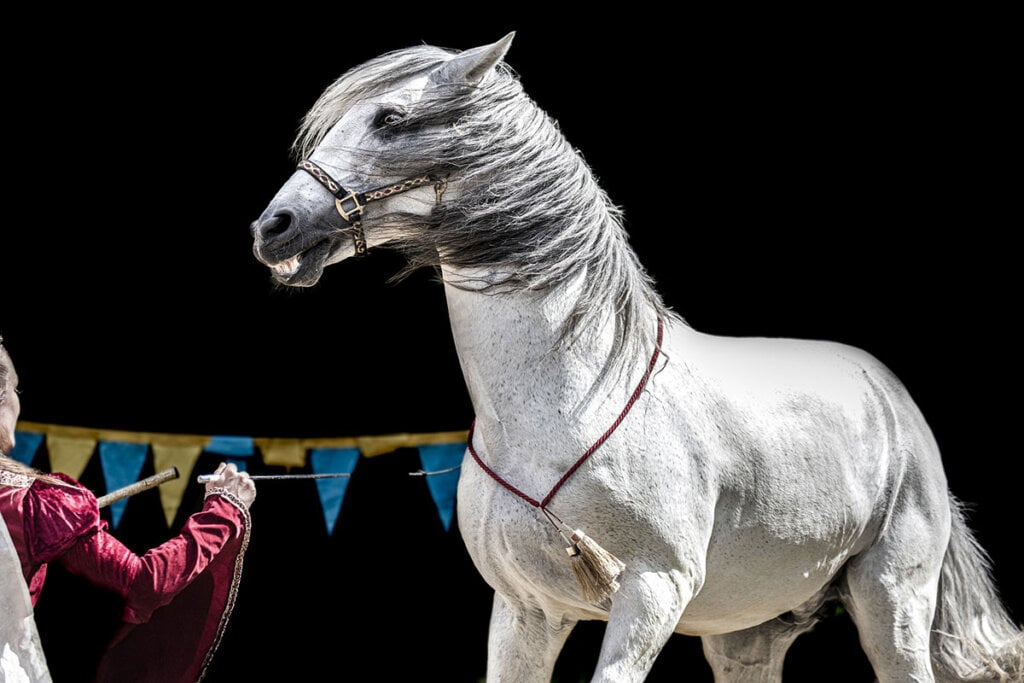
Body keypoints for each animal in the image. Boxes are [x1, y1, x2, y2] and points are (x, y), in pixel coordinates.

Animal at [249, 33, 1023, 682]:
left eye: (390, 118)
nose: (272, 227)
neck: (568, 400)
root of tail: (891, 395)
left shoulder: (652, 591)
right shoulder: (525, 609)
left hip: (892, 600)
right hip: (748, 634)